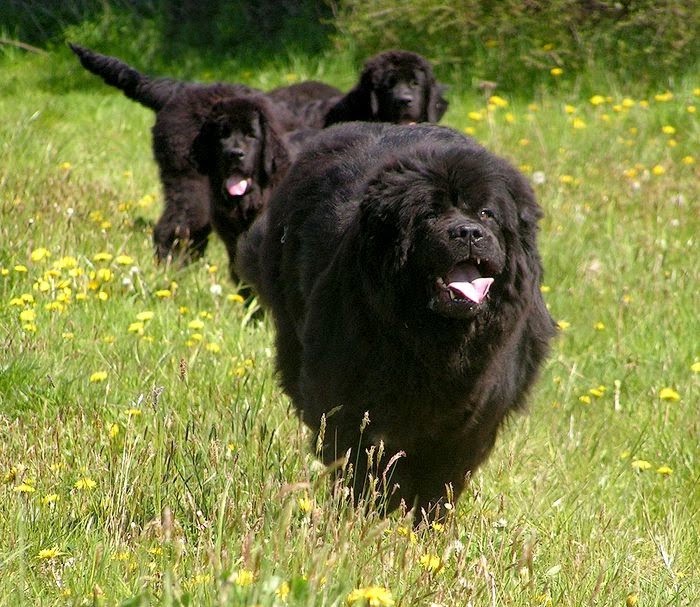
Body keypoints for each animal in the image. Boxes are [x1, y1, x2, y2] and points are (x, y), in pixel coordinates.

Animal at [241, 124, 556, 524]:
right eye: (430, 215)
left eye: (486, 213)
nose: (468, 232)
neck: (437, 343)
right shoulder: (348, 401)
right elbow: (359, 461)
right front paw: (365, 512)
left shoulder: (474, 421)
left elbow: (440, 479)